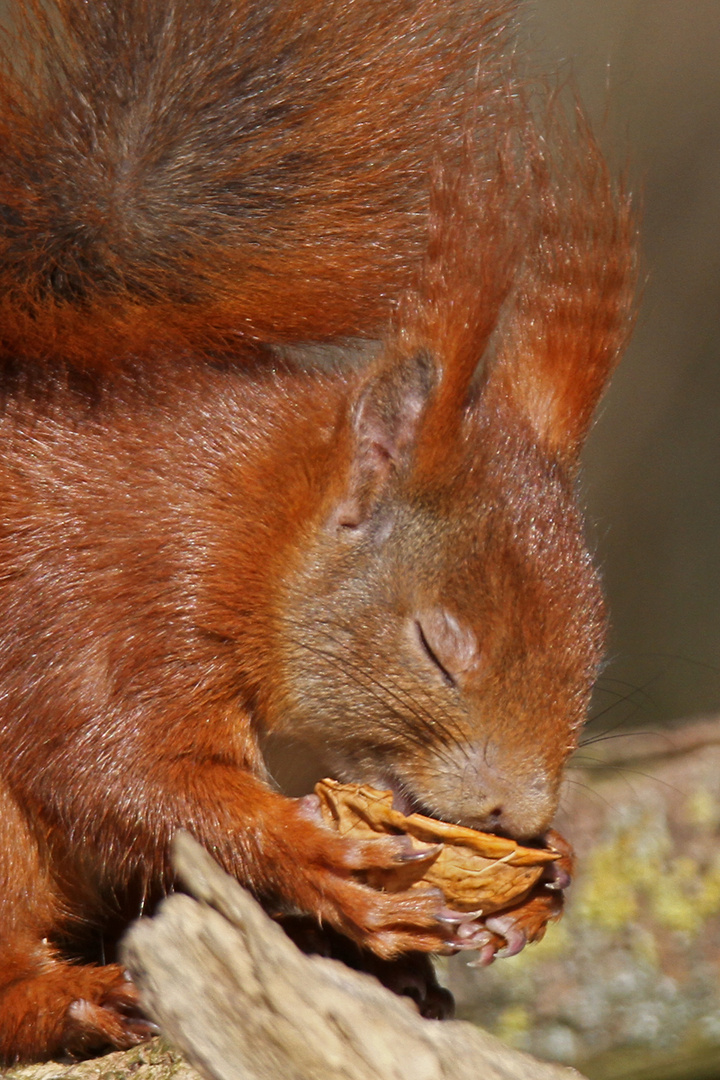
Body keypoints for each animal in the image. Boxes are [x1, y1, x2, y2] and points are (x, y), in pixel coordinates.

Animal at [0, 0, 634, 1062]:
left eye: (592, 652)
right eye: (436, 646)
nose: (518, 813)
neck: (260, 526)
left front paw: (545, 878)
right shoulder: (121, 602)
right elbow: (113, 773)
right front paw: (314, 861)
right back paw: (75, 999)